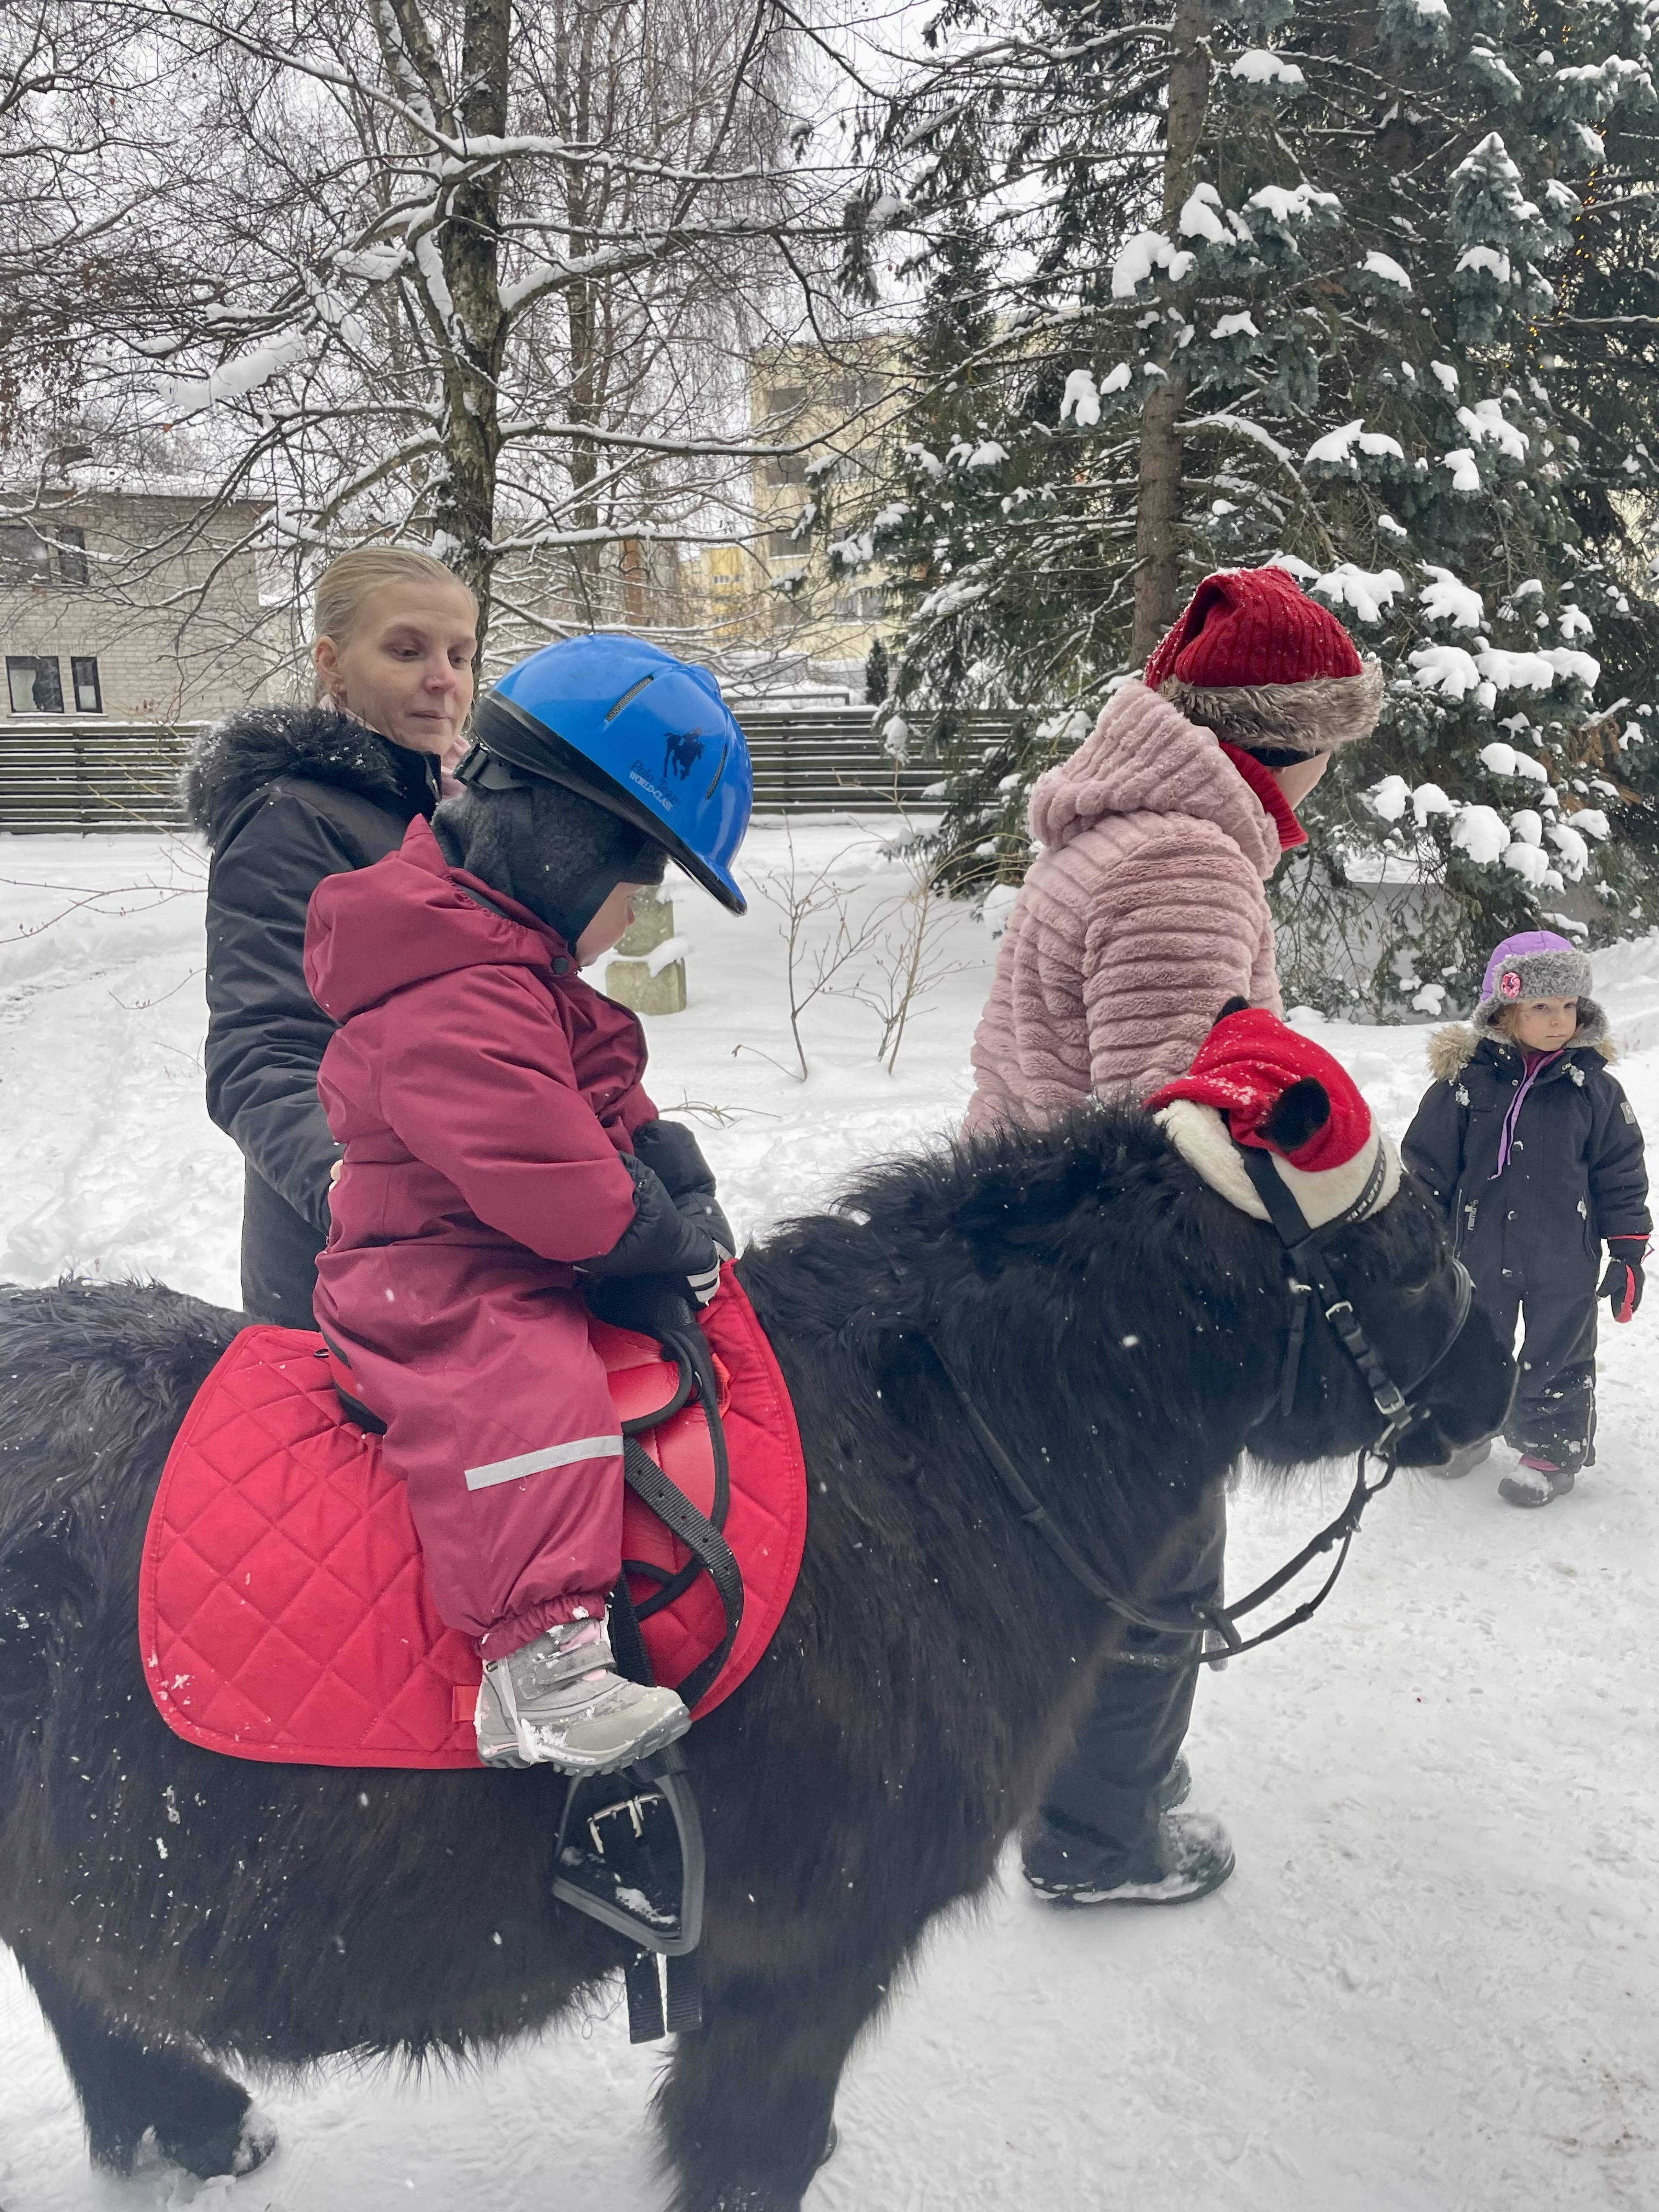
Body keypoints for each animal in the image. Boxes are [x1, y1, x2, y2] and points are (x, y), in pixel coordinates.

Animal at [0, 1097, 1512, 2210]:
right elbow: (754, 2151)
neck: (925, 1466)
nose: (1497, 1382)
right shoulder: (808, 1963)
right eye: (1414, 1253)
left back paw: (187, 2130)